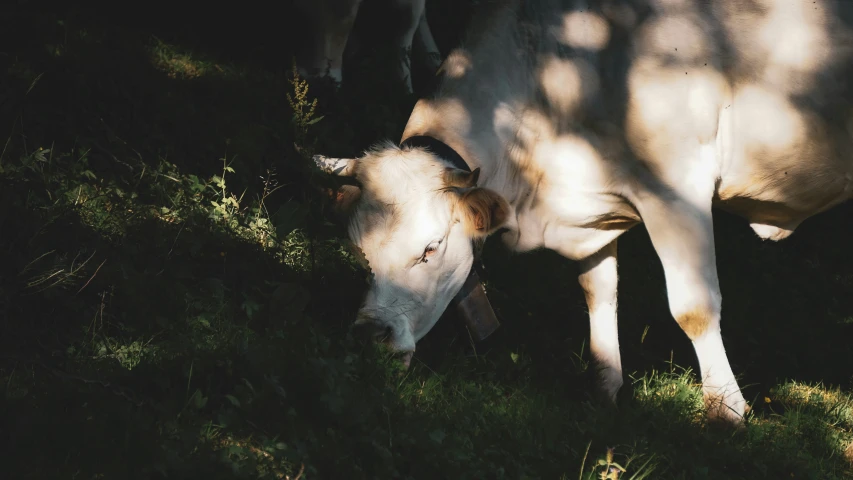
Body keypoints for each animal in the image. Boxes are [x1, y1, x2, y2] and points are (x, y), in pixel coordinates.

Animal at [312, 0, 852, 424]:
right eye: (359, 253)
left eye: (431, 248)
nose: (370, 335)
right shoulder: (595, 213)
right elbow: (598, 292)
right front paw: (605, 388)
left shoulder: (677, 188)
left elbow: (694, 308)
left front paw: (726, 411)